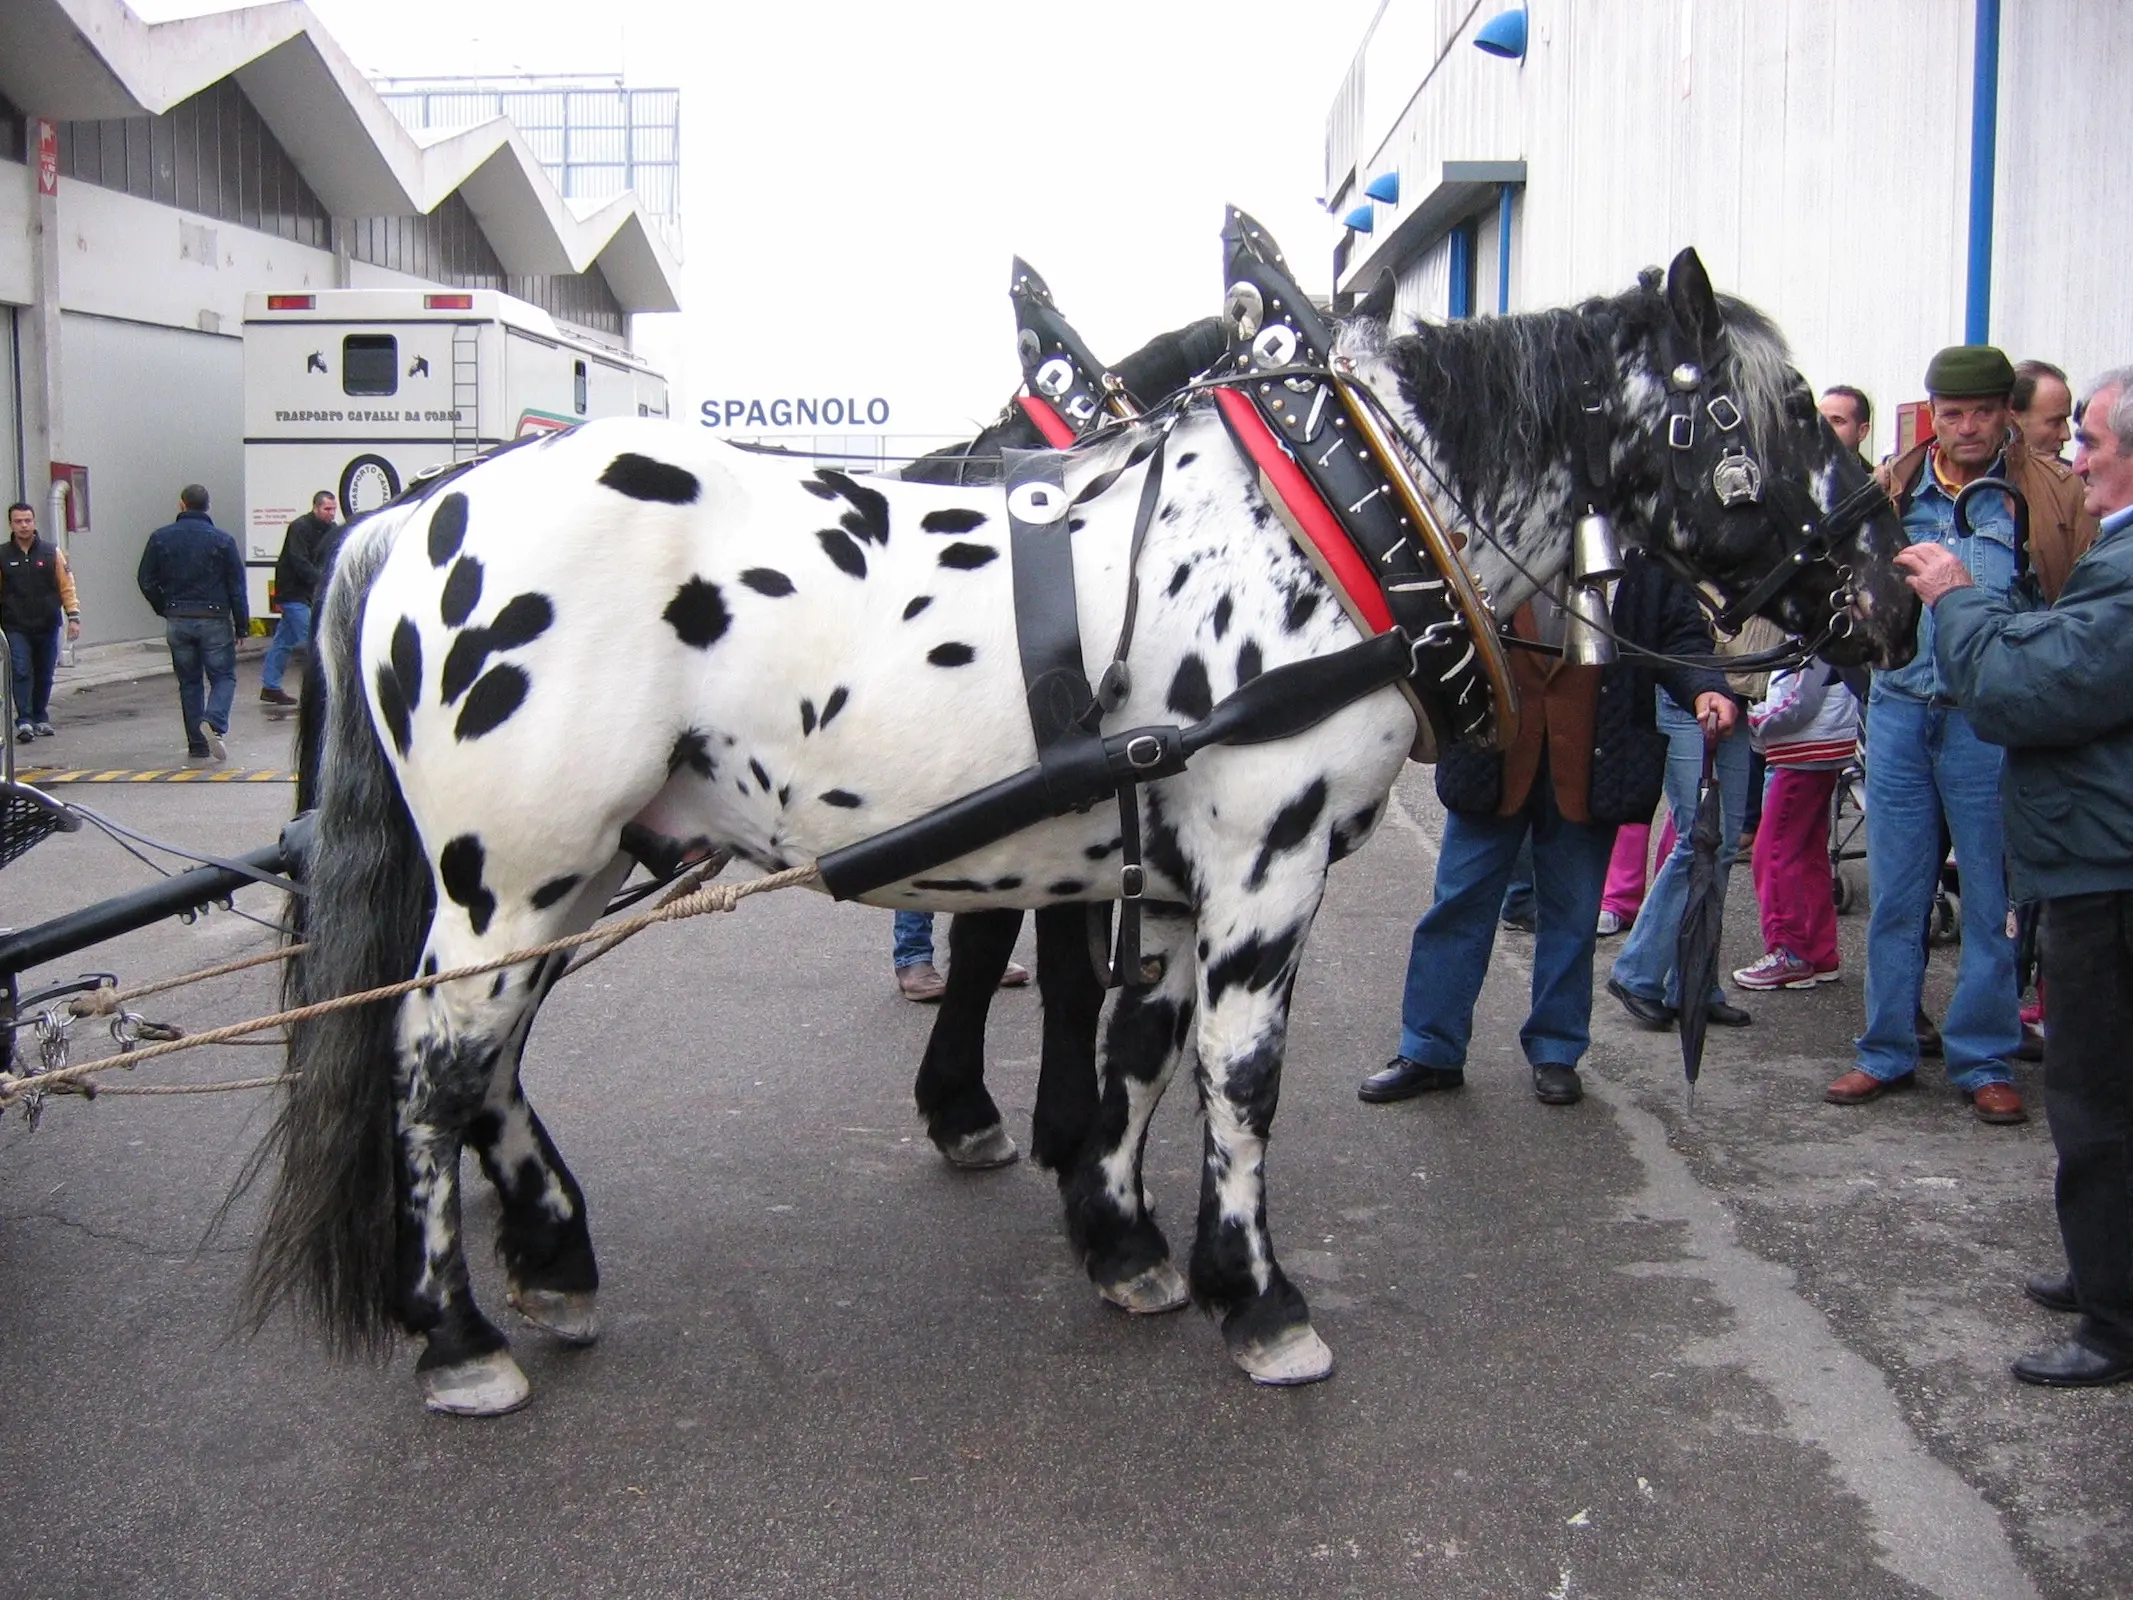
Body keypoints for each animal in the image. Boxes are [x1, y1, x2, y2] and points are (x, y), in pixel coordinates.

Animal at [245, 241, 1919, 1416]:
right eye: (1775, 414)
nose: (1891, 594)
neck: (1323, 518)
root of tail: (408, 517)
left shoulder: (1174, 878)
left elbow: (1137, 1048)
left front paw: (1125, 1247)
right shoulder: (1264, 864)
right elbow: (1240, 1072)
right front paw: (1261, 1301)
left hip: (556, 877)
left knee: (483, 1061)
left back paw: (552, 1258)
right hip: (516, 879)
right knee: (433, 1063)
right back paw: (457, 1336)